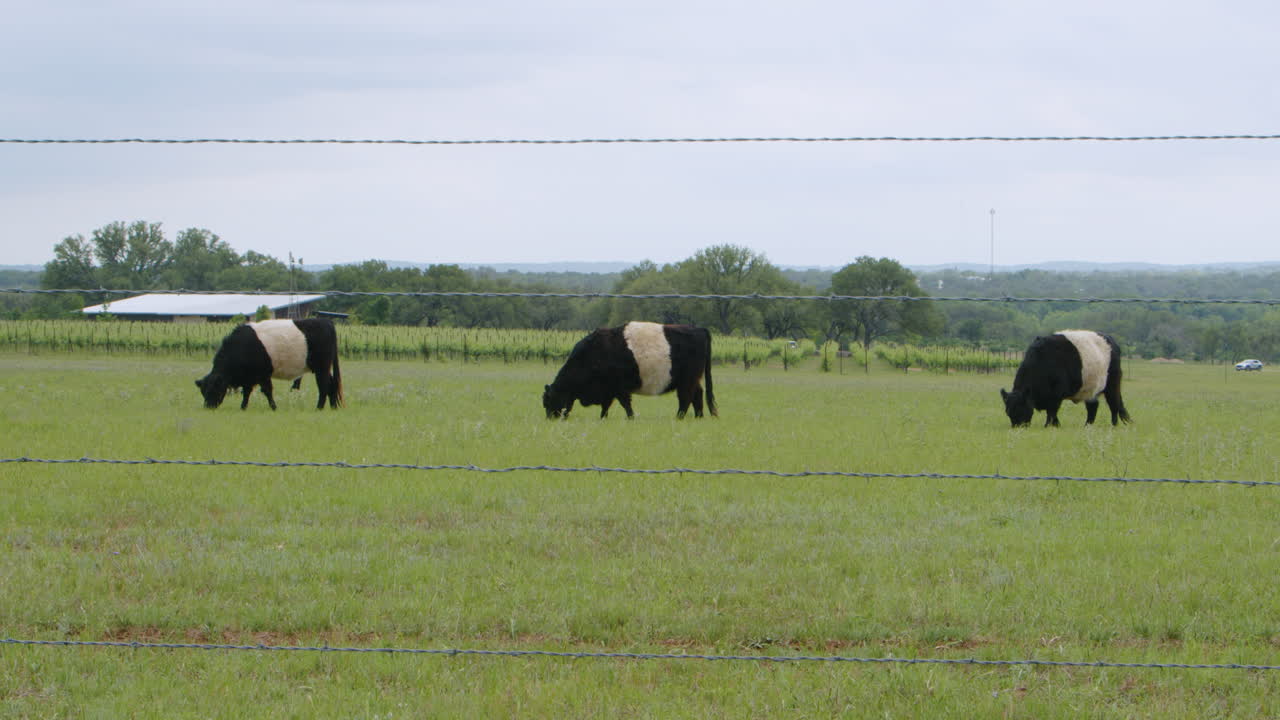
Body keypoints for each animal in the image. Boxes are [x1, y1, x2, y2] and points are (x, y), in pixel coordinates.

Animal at [196, 318, 344, 410]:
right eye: (203, 392)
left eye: (213, 389)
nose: (208, 407)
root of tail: (326, 322)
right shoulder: (249, 377)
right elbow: (247, 392)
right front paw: (243, 407)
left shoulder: (263, 374)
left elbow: (267, 391)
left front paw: (274, 407)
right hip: (323, 368)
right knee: (332, 384)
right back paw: (333, 407)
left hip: (321, 367)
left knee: (324, 386)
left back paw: (319, 408)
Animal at [543, 322, 717, 420]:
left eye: (548, 401)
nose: (550, 419)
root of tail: (699, 329)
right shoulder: (609, 389)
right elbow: (606, 406)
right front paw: (603, 418)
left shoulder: (618, 388)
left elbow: (625, 404)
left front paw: (631, 418)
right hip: (692, 379)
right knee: (697, 395)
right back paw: (698, 416)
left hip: (687, 380)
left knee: (686, 399)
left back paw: (679, 417)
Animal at [1000, 329, 1131, 428]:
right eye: (1008, 412)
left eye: (1021, 409)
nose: (1018, 428)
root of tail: (1111, 340)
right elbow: (1052, 412)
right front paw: (1056, 425)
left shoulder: (1056, 395)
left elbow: (1052, 411)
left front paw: (1049, 425)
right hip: (1090, 389)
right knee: (1093, 407)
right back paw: (1087, 425)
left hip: (1112, 384)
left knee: (1114, 404)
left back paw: (1113, 424)